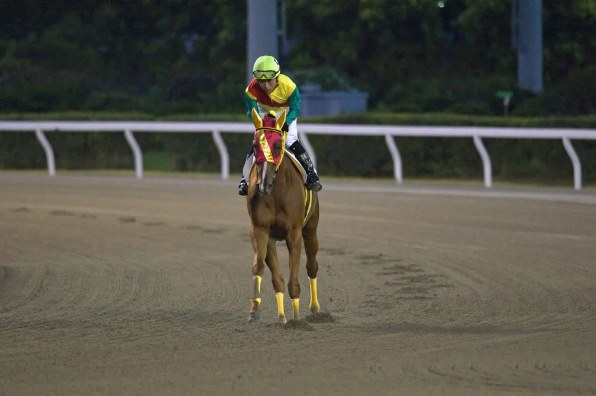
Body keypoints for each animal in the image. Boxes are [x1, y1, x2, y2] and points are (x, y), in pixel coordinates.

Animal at [244, 106, 322, 324]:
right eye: (255, 146)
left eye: (278, 145)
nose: (263, 184)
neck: (276, 192)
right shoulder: (261, 231)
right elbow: (263, 269)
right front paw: (259, 311)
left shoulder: (293, 233)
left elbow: (293, 279)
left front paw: (295, 318)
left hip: (311, 229)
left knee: (312, 266)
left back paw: (315, 308)